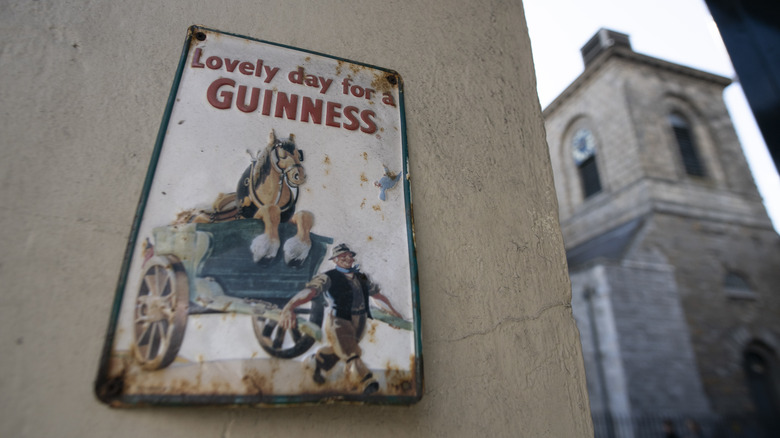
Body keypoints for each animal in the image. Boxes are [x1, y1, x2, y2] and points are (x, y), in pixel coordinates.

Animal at [174, 129, 314, 266]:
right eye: (282, 154)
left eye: (299, 155)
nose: (300, 176)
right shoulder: (256, 216)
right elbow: (271, 211)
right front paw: (267, 247)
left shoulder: (287, 220)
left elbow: (305, 216)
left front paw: (298, 250)